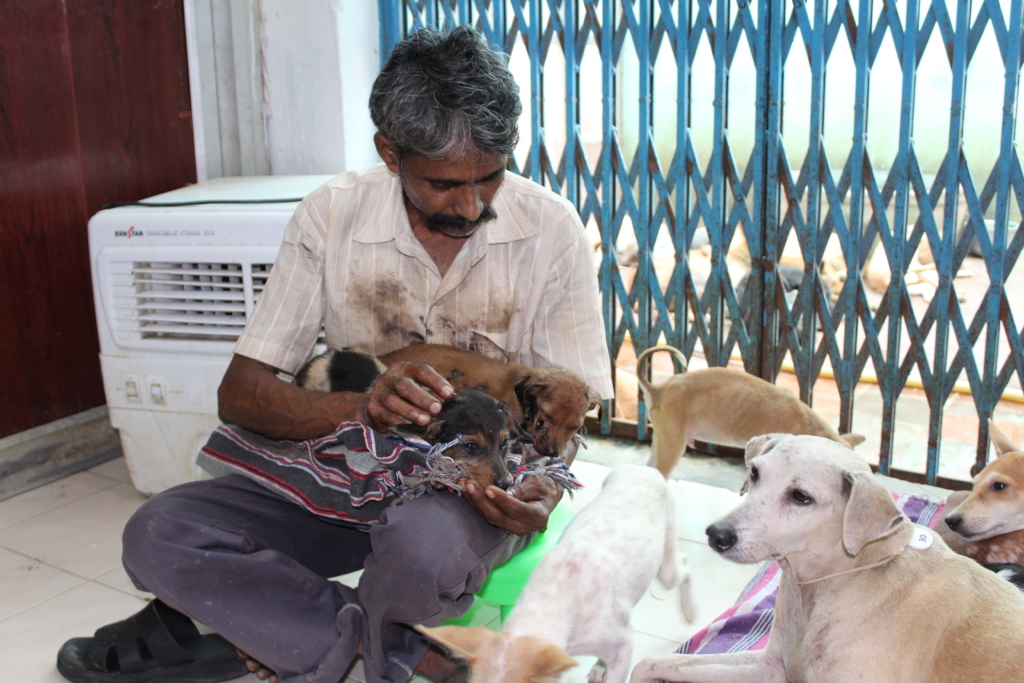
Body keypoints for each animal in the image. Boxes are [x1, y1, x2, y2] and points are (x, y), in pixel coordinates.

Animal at [419, 464, 696, 683]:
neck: (552, 598)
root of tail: (641, 467)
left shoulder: (623, 646)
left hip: (667, 563)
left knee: (683, 566)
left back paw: (690, 611)